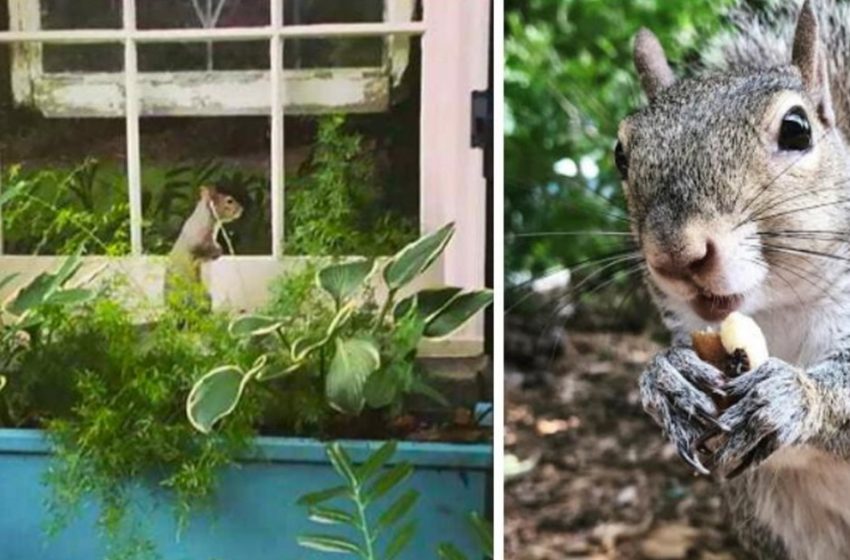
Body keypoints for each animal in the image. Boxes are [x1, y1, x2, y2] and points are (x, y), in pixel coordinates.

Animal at [620, 1, 850, 556]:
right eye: (620, 154)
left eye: (797, 129)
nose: (675, 254)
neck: (778, 312)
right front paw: (667, 379)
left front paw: (793, 397)